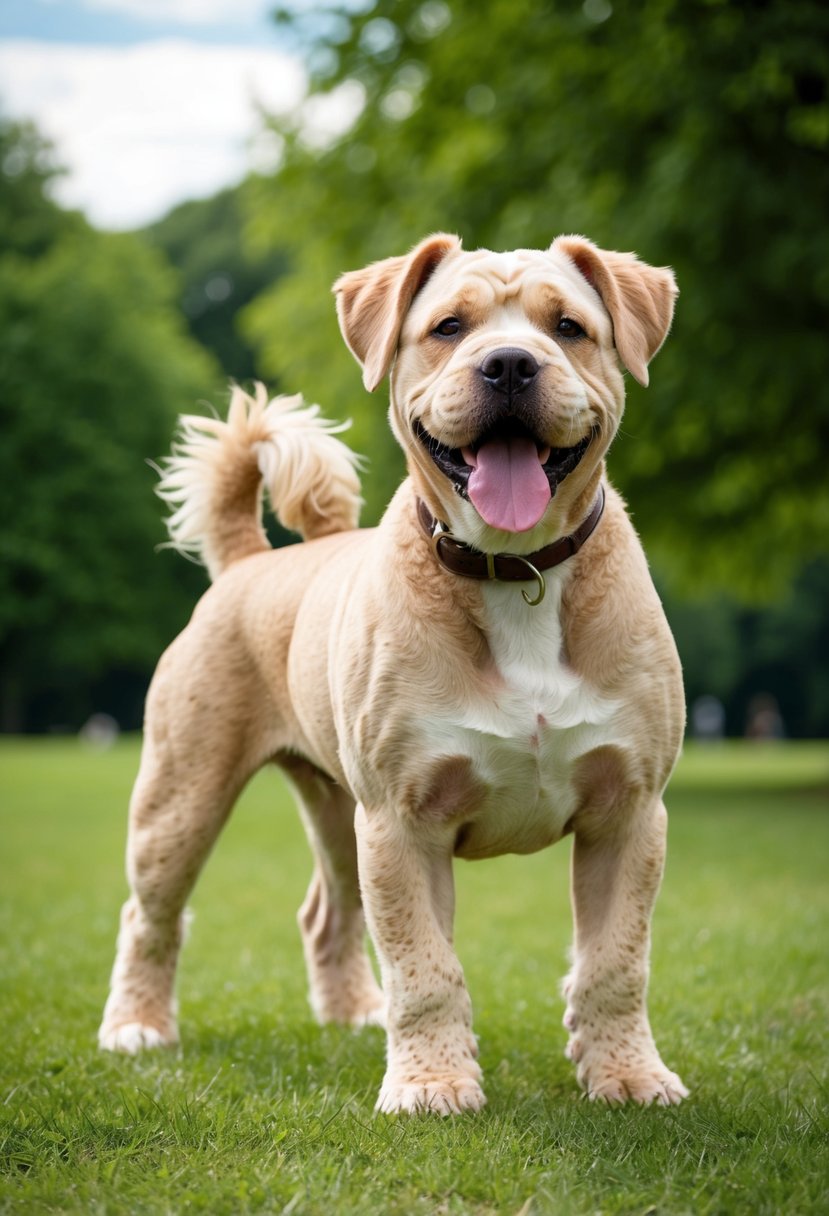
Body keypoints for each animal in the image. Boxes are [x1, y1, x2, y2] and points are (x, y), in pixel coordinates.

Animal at [100, 232, 685, 1113]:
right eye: (447, 326)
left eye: (568, 327)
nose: (508, 364)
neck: (514, 573)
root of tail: (249, 558)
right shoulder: (402, 818)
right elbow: (424, 966)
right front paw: (432, 1083)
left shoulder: (628, 811)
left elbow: (615, 961)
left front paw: (626, 1075)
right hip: (184, 793)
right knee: (151, 914)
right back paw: (137, 1028)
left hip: (334, 804)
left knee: (326, 912)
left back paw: (351, 1014)